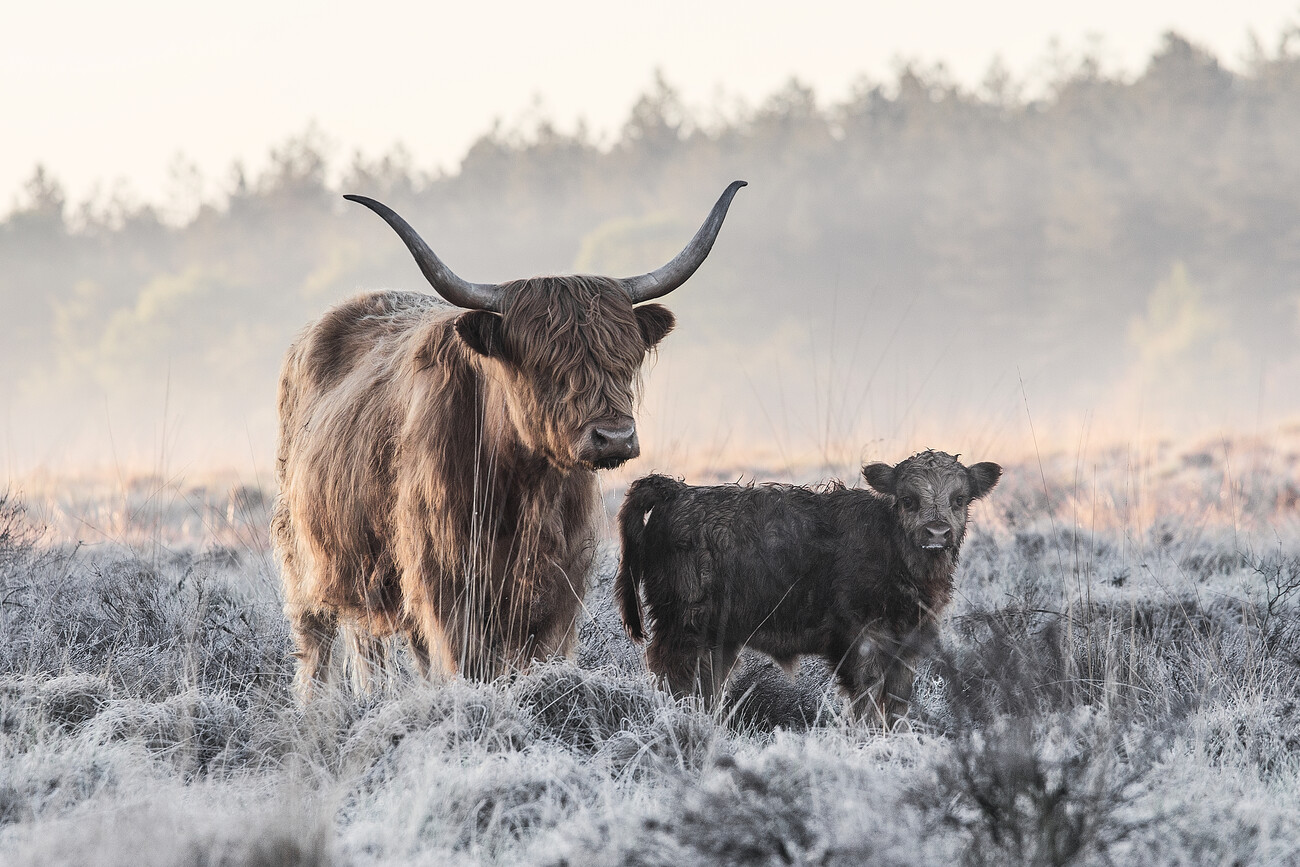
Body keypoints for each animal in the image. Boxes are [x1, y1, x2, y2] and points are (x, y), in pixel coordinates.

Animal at [273, 183, 743, 696]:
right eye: (543, 365)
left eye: (625, 359)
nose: (614, 437)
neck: (525, 488)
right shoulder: (446, 583)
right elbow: (467, 664)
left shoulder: (559, 591)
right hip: (305, 557)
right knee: (317, 645)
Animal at [613, 452, 998, 727]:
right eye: (907, 499)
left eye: (960, 499)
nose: (937, 533)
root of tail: (678, 491)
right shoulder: (861, 640)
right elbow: (869, 699)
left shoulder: (907, 644)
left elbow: (897, 703)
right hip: (683, 624)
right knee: (674, 678)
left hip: (717, 638)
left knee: (708, 685)